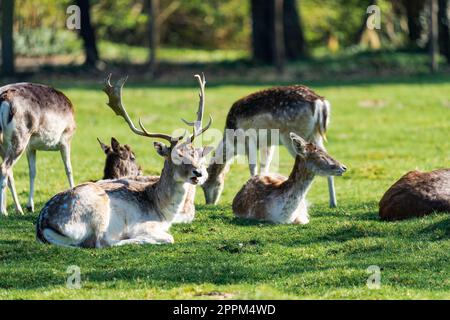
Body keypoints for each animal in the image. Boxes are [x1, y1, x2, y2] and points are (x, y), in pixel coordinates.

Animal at [0, 82, 75, 215]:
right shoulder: (66, 139)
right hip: (19, 138)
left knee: (10, 172)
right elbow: (68, 169)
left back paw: (17, 210)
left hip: (5, 145)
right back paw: (3, 212)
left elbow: (32, 172)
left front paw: (30, 206)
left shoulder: (31, 147)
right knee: (4, 168)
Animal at [36, 74, 212, 248]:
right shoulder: (145, 224)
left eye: (194, 153)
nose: (198, 172)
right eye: (176, 155)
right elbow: (169, 237)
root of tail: (43, 225)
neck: (161, 210)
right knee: (103, 242)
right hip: (97, 210)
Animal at [200, 84, 338, 208]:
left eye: (204, 184)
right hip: (315, 136)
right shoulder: (267, 144)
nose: (209, 203)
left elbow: (253, 167)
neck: (233, 142)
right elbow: (264, 166)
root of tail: (319, 102)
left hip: (292, 136)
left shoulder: (250, 139)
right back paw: (333, 203)